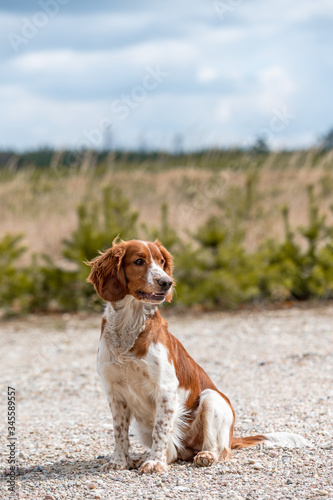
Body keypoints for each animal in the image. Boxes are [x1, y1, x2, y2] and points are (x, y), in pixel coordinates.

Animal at [87, 238, 308, 472]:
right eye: (139, 261)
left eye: (161, 261)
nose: (167, 282)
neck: (129, 326)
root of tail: (231, 437)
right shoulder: (114, 393)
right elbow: (119, 433)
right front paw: (119, 462)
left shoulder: (166, 390)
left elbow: (161, 431)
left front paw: (155, 463)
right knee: (174, 453)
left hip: (210, 398)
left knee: (216, 449)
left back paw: (204, 455)